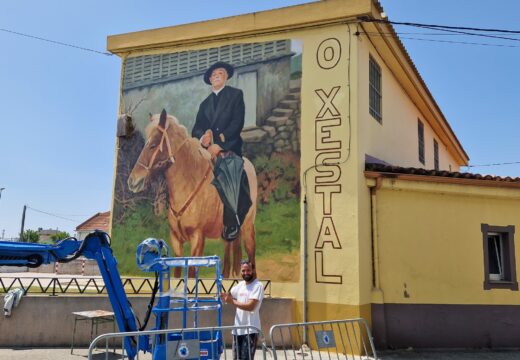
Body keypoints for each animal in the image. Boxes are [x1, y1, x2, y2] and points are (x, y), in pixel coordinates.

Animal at [128, 108, 258, 278]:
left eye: (154, 144)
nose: (133, 181)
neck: (188, 184)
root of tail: (249, 165)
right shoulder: (176, 239)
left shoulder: (197, 238)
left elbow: (190, 273)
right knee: (228, 248)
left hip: (248, 226)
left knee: (251, 251)